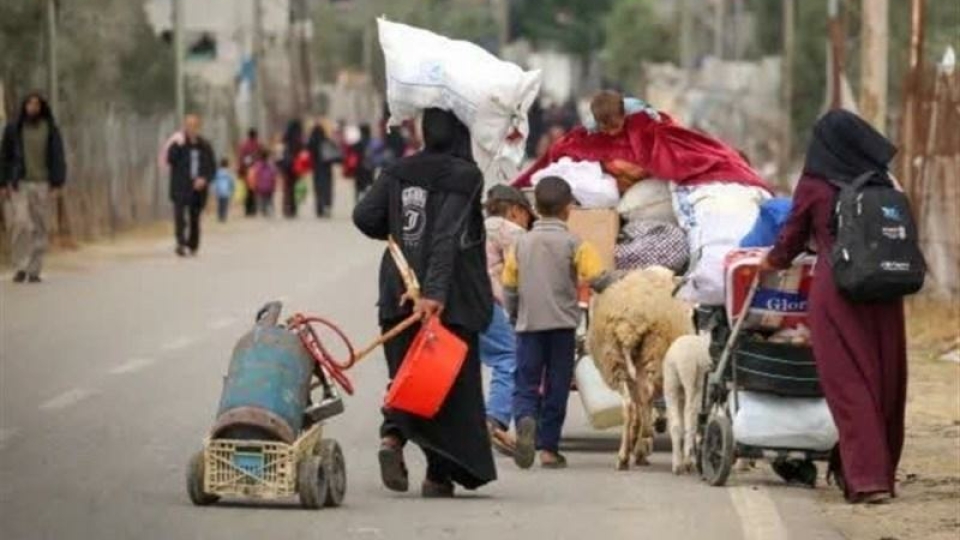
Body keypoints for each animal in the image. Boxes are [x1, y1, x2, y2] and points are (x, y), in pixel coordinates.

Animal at [588, 266, 692, 468]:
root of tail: (629, 323)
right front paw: (640, 445)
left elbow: (636, 408)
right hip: (653, 355)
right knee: (645, 398)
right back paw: (642, 440)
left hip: (615, 361)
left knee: (630, 405)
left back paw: (624, 455)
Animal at [664, 334, 708, 472]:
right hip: (690, 382)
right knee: (688, 419)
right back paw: (685, 460)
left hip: (676, 383)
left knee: (682, 422)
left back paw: (681, 462)